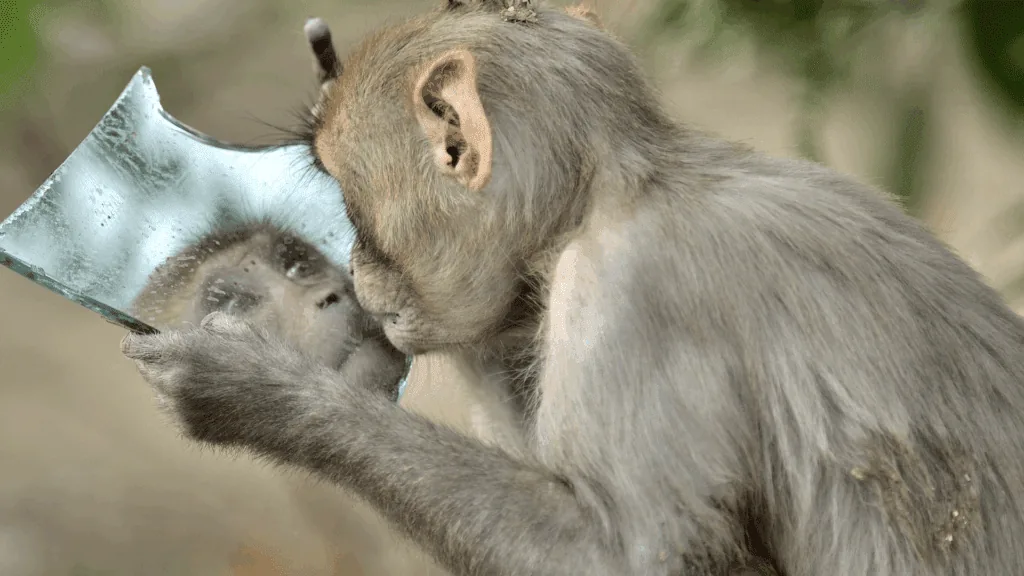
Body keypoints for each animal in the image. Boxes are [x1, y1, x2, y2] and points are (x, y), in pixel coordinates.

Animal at [120, 1, 1024, 575]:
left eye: (348, 202)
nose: (360, 276)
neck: (622, 188)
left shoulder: (625, 293)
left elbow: (626, 558)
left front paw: (260, 394)